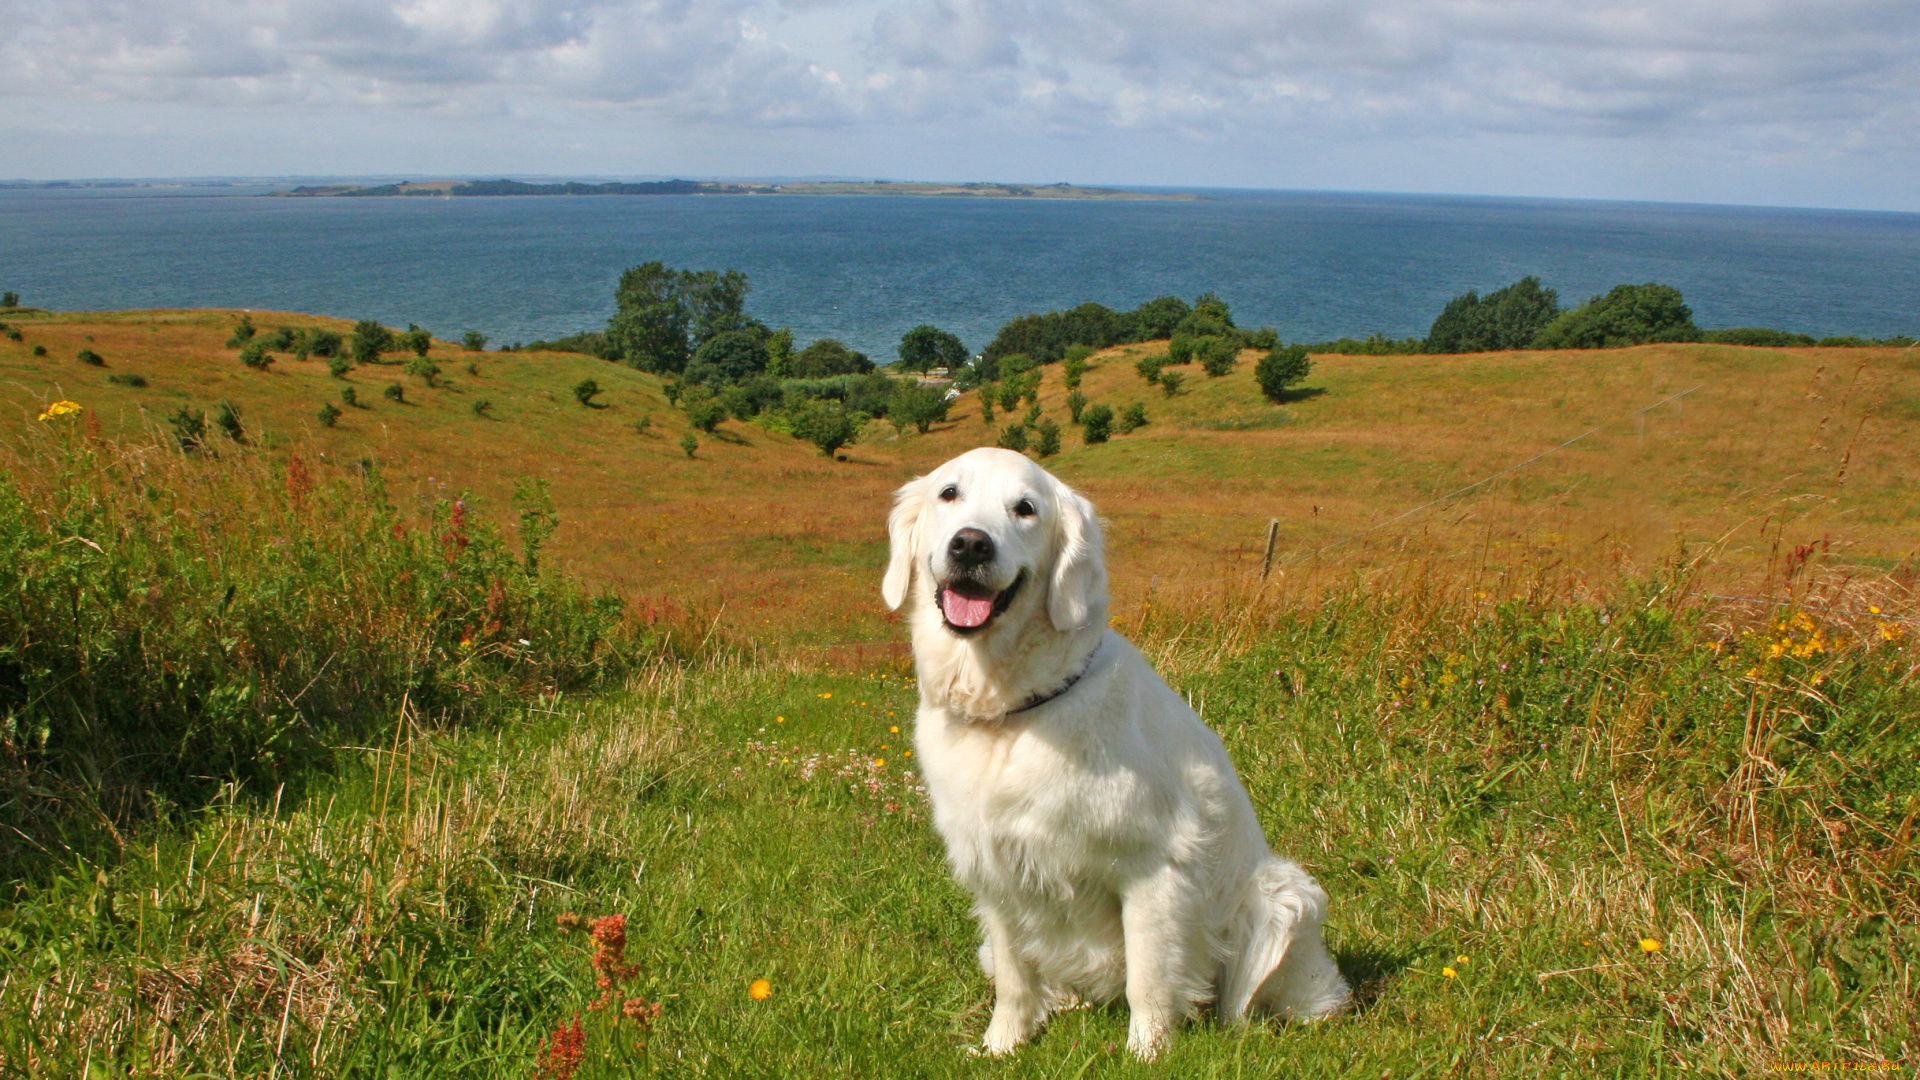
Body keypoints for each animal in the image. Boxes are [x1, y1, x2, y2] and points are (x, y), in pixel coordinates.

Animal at [879, 443, 1344, 1053]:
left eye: (1025, 508)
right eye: (948, 493)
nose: (972, 544)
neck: (1011, 712)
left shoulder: (1153, 869)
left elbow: (1149, 978)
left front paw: (1147, 1054)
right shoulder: (996, 872)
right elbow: (1014, 980)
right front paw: (1002, 1047)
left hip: (1281, 896)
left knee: (1257, 1000)